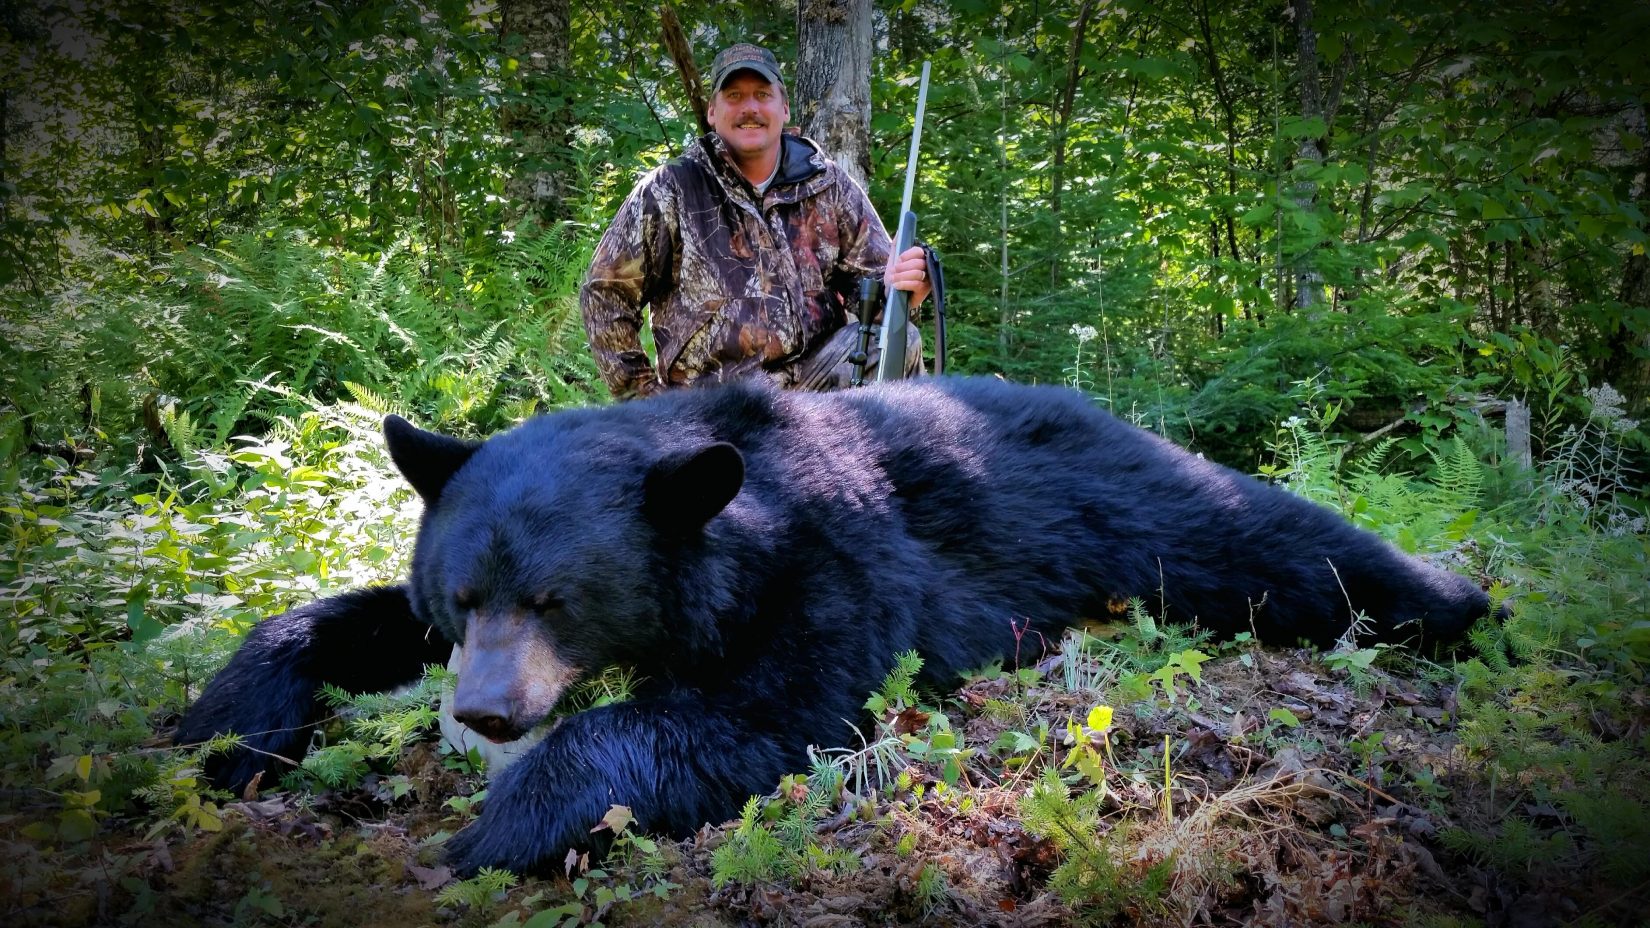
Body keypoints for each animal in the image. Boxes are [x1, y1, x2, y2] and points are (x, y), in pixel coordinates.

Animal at [173, 376, 1494, 875]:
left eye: (557, 597)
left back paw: (1459, 600)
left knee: (1263, 534)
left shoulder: (835, 561)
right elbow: (342, 621)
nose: (490, 711)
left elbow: (772, 707)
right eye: (464, 596)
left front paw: (495, 827)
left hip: (1117, 502)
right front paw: (217, 729)